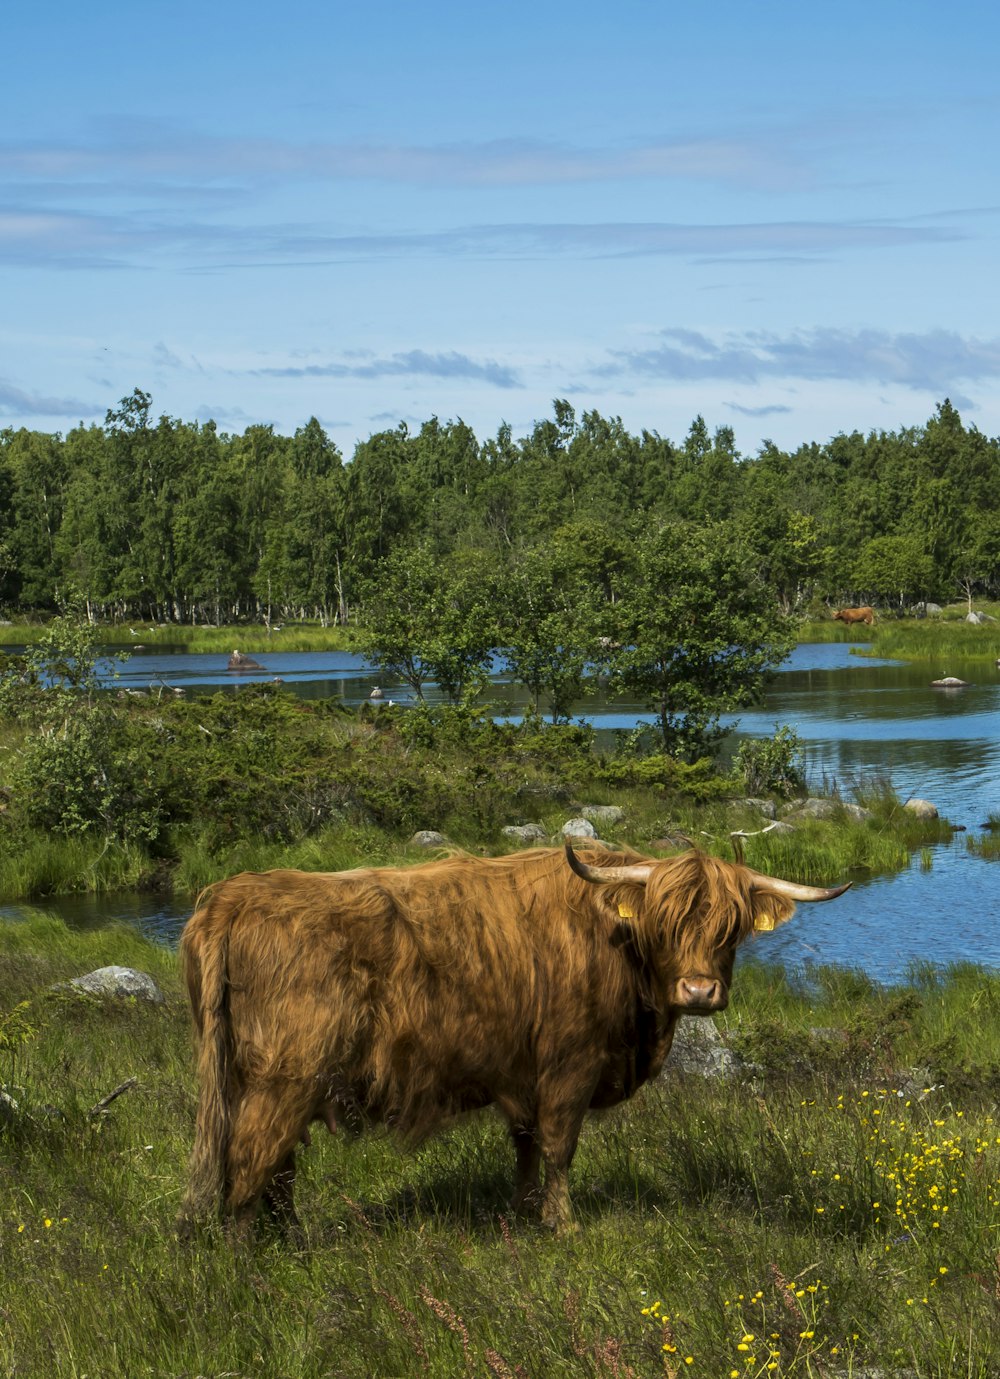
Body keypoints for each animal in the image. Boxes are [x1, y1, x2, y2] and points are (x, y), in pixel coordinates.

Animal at [177, 843, 844, 1235]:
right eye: (665, 923)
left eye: (731, 928)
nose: (700, 990)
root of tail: (231, 897)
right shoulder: (570, 1063)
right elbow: (558, 1147)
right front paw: (562, 1225)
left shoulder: (523, 1073)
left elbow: (525, 1144)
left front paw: (522, 1214)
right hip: (286, 1076)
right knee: (250, 1163)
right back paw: (250, 1256)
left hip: (256, 1078)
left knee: (275, 1167)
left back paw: (289, 1241)